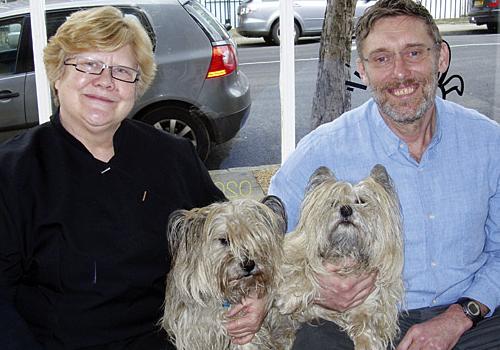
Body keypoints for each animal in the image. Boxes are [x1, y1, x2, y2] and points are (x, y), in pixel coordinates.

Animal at [278, 165, 406, 350]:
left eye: (361, 201)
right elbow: (305, 268)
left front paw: (367, 342)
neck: (345, 251)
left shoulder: (369, 303)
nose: (346, 209)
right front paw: (290, 298)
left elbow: (365, 323)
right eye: (333, 203)